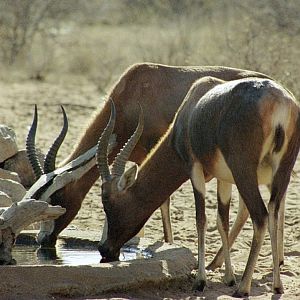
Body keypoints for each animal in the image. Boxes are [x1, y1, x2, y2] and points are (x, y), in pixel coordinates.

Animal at [98, 77, 300, 298]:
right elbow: (221, 221)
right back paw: (277, 286)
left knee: (261, 217)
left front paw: (200, 281)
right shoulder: (224, 178)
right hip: (281, 173)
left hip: (244, 173)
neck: (191, 107)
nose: (104, 249)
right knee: (273, 212)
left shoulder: (193, 167)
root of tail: (278, 100)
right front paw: (229, 277)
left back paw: (243, 288)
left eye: (108, 203)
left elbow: (201, 220)